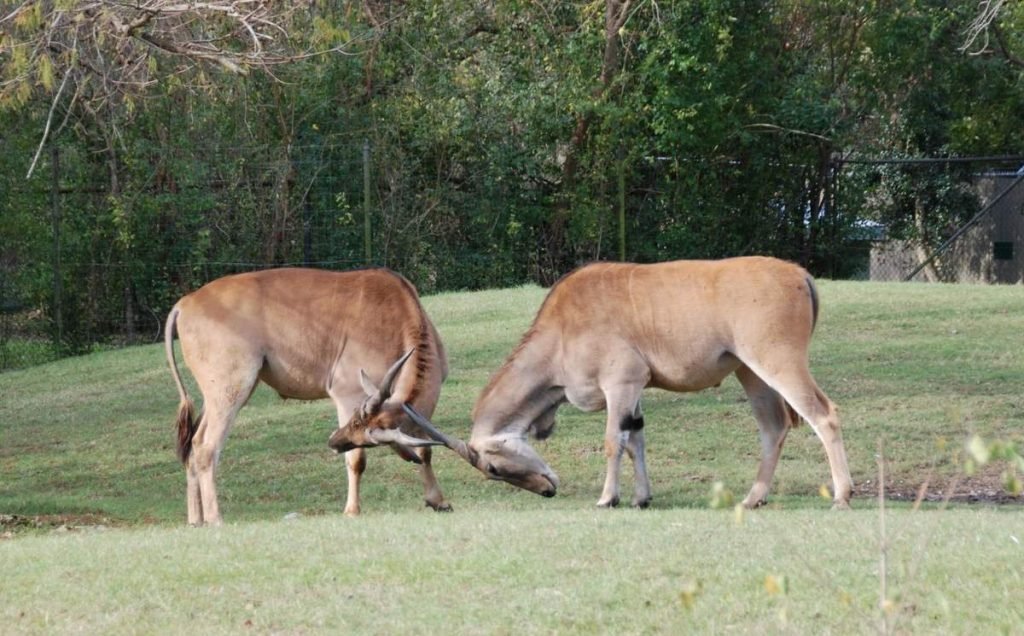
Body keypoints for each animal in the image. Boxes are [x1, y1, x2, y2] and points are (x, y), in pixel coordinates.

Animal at [165, 266, 450, 524]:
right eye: (355, 426)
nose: (333, 442)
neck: (396, 311)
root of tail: (185, 303)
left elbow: (426, 449)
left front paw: (438, 500)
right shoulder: (347, 395)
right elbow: (356, 460)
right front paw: (352, 510)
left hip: (218, 397)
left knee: (193, 444)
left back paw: (195, 520)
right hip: (230, 391)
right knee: (206, 447)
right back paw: (215, 518)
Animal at [407, 255, 856, 507]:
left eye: (494, 467)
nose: (548, 489)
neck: (562, 330)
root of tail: (798, 274)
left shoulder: (621, 383)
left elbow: (614, 441)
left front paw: (608, 498)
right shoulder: (635, 391)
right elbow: (636, 437)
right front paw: (642, 498)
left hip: (778, 362)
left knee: (824, 415)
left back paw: (841, 495)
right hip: (751, 373)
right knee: (773, 427)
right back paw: (752, 498)